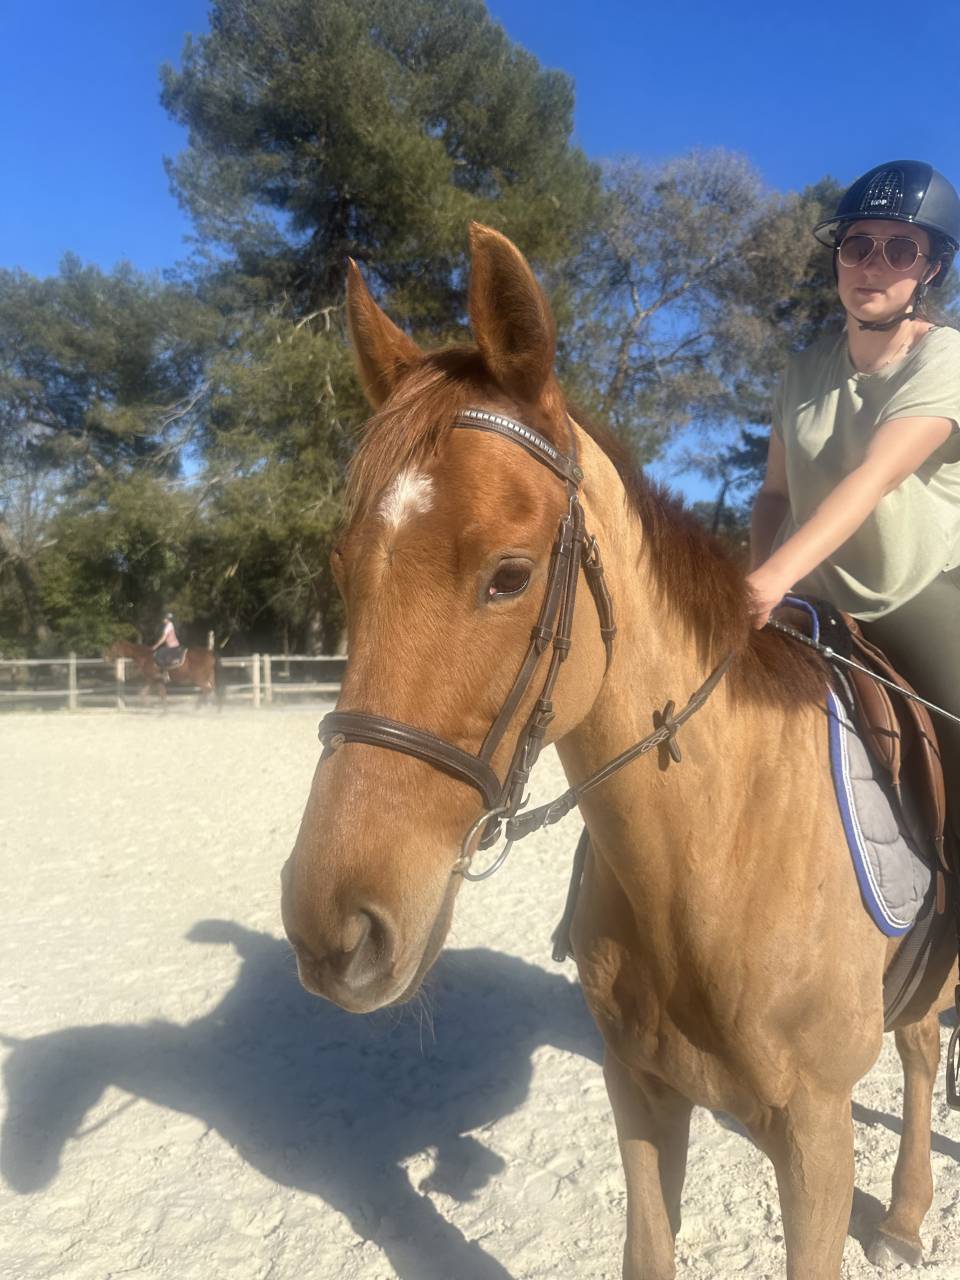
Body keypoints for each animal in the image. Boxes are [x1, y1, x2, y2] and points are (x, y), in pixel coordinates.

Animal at [280, 223, 957, 1278]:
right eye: (344, 569)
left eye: (509, 576)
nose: (332, 929)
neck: (717, 852)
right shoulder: (638, 1090)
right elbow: (649, 1248)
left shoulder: (817, 1136)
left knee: (924, 1050)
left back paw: (903, 1215)